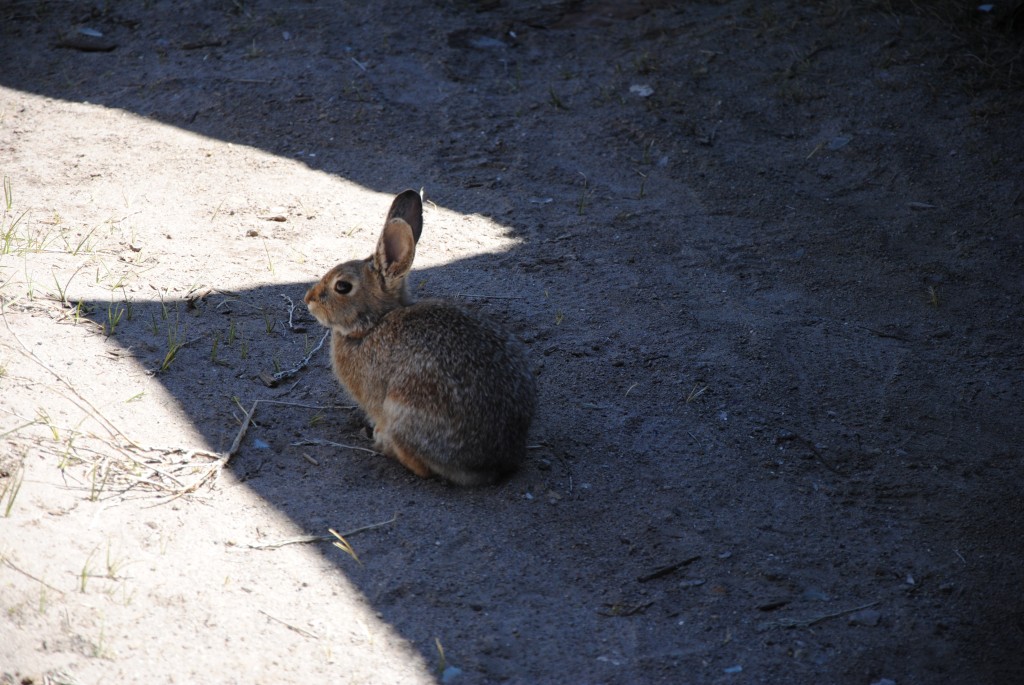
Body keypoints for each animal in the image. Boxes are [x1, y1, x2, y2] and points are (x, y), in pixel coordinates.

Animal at [301, 189, 536, 483]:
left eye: (342, 286)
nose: (308, 299)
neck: (374, 323)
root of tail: (495, 463)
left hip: (404, 406)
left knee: (420, 466)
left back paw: (383, 444)